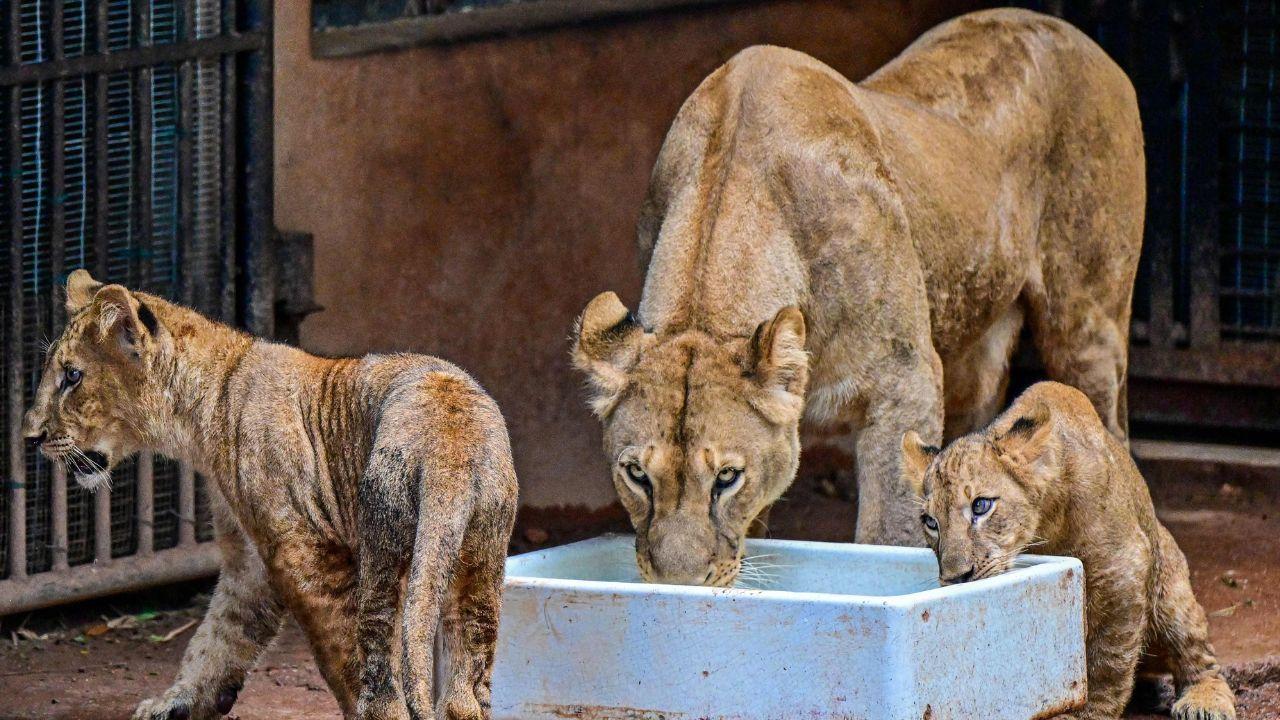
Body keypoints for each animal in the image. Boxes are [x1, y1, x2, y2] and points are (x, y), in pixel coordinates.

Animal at [21, 270, 518, 720]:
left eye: (71, 376)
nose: (30, 437)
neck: (203, 411)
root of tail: (449, 443)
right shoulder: (249, 561)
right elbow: (217, 636)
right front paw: (177, 702)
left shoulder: (303, 553)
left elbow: (342, 660)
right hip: (479, 560)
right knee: (465, 694)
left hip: (384, 546)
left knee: (384, 681)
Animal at [572, 8, 1144, 584]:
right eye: (637, 475)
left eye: (727, 477)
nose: (679, 585)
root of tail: (1063, 28)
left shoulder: (905, 382)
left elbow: (890, 531)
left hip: (1087, 328)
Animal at [901, 382, 1235, 720]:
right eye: (931, 522)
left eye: (981, 505)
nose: (956, 577)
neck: (1044, 526)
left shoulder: (1121, 568)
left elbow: (1107, 657)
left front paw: (1090, 711)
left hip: (1170, 591)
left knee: (1199, 653)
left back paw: (1204, 700)